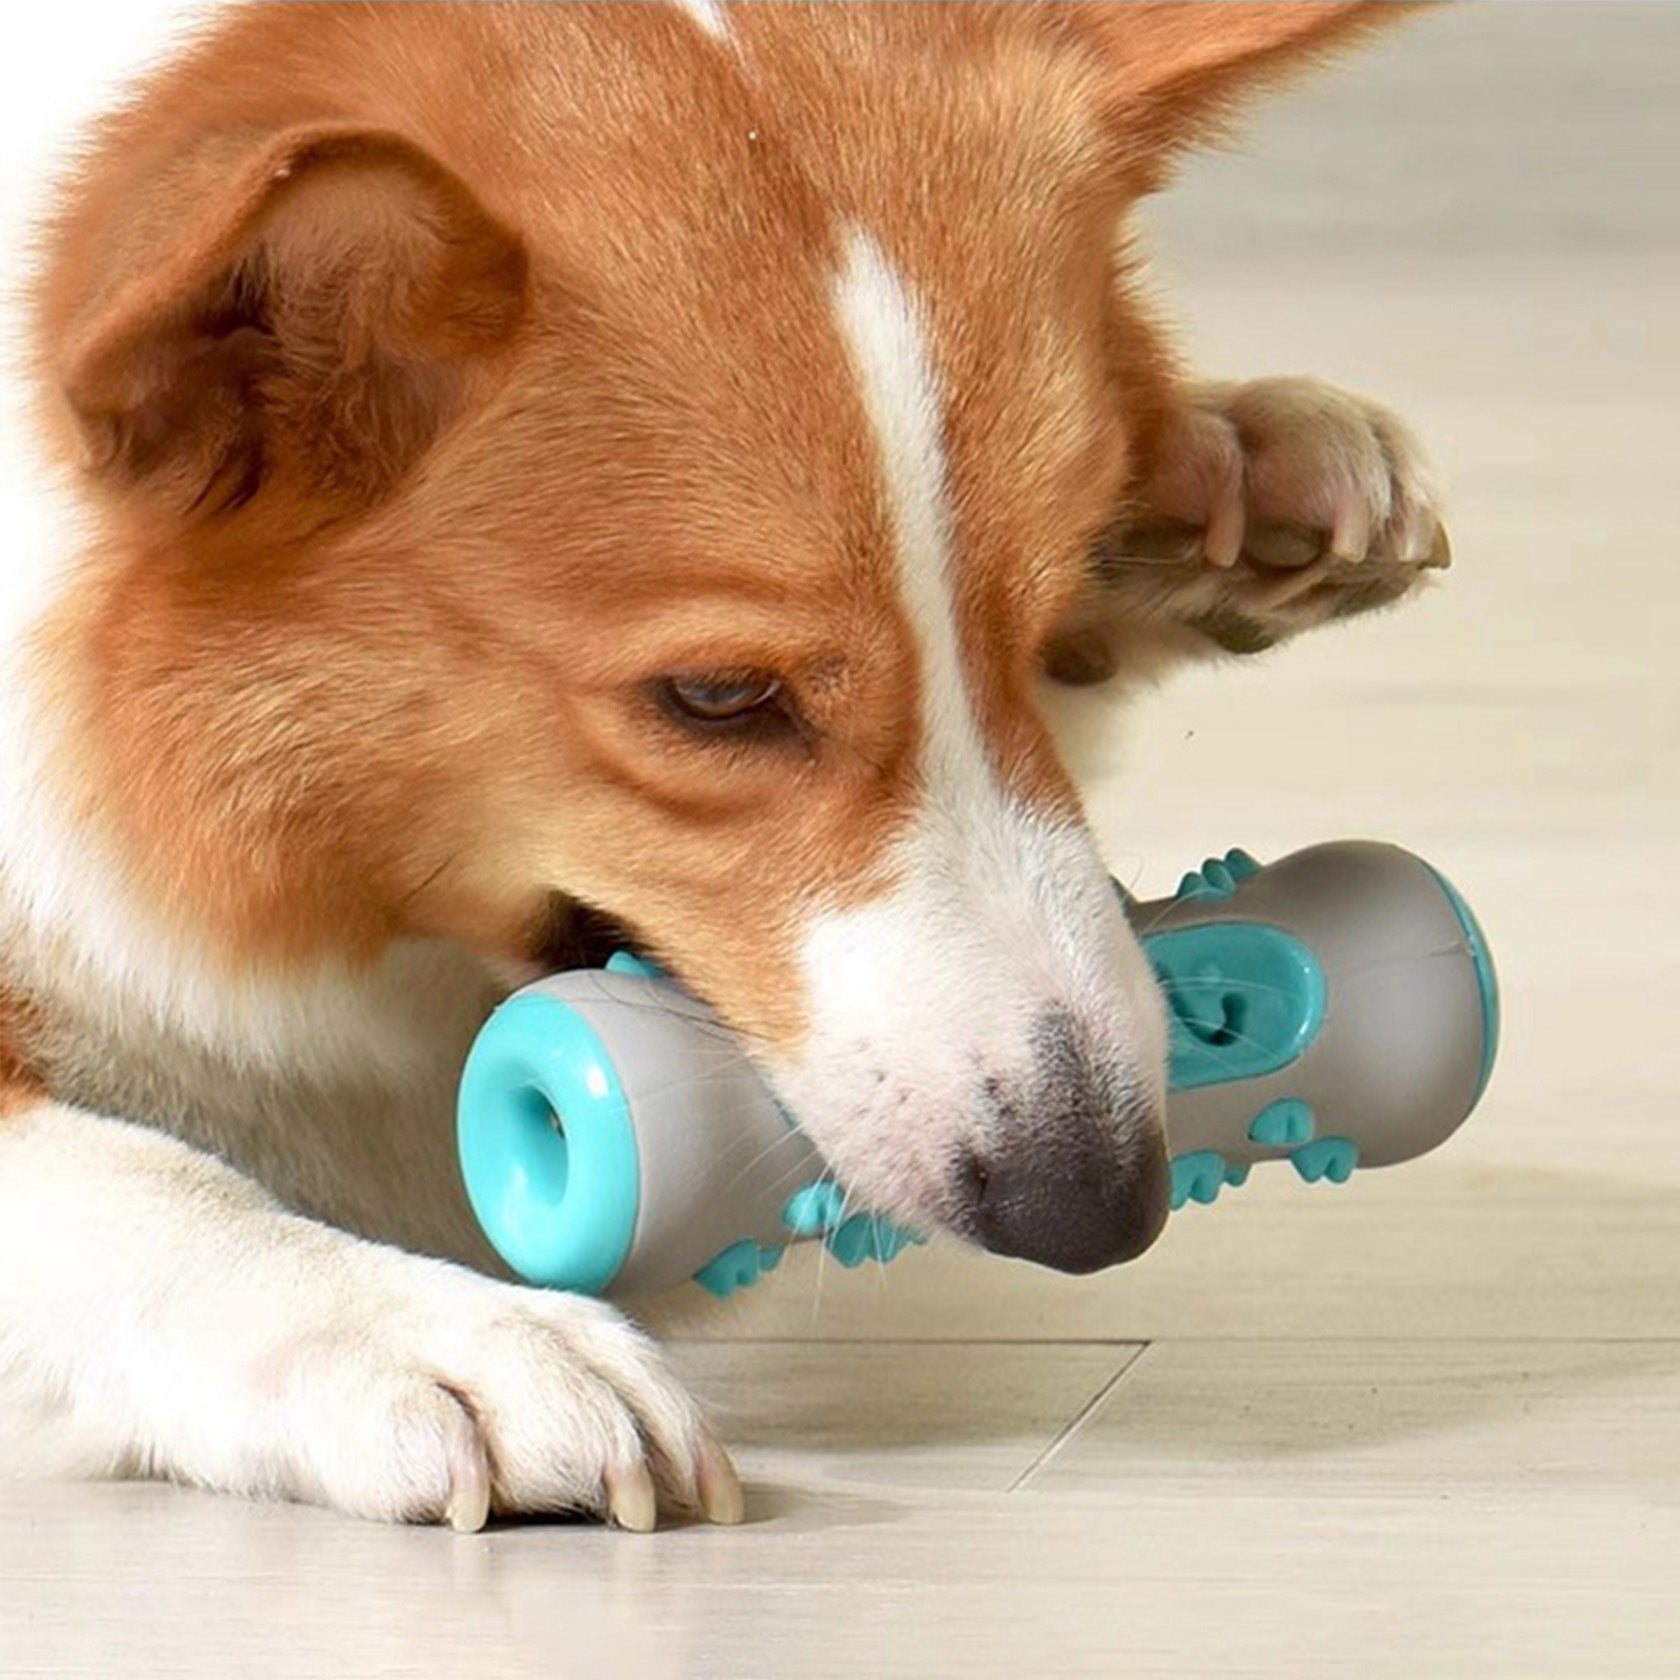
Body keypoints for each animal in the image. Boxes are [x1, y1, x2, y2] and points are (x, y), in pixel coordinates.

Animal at [0, 0, 1444, 1532]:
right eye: (718, 698)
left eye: (1049, 624)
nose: (1106, 1208)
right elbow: (135, 1177)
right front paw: (430, 1330)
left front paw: (1233, 461)